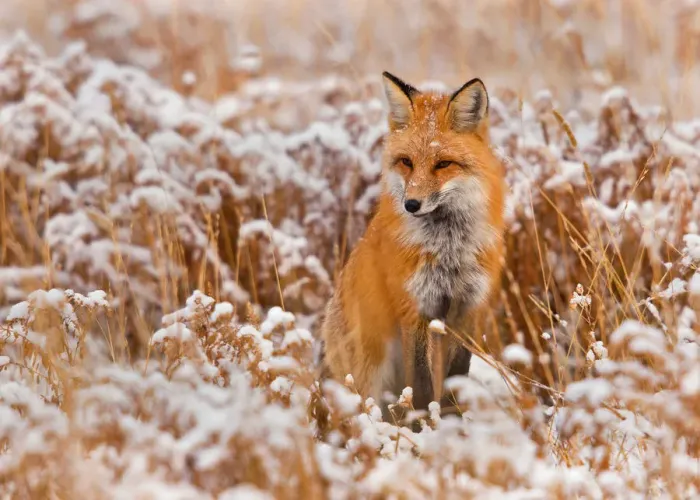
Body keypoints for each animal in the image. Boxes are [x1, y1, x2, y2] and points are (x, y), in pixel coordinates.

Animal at [317, 71, 507, 415]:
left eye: (443, 164)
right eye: (406, 162)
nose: (411, 204)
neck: (448, 250)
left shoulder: (467, 310)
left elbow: (455, 381)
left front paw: (452, 421)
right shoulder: (414, 309)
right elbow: (419, 387)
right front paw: (424, 423)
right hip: (370, 370)